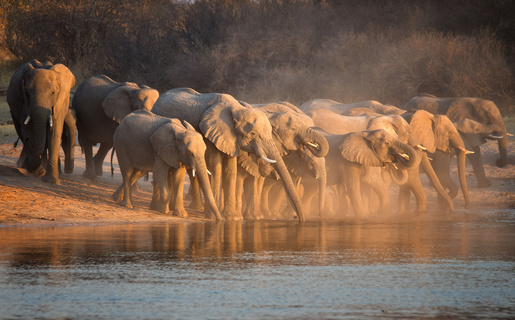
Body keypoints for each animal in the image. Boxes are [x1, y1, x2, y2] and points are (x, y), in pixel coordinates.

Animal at [152, 88, 306, 222]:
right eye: (253, 134)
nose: (298, 219)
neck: (236, 109)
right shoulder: (208, 133)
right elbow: (215, 167)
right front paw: (216, 217)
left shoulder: (230, 138)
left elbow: (230, 170)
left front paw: (233, 218)